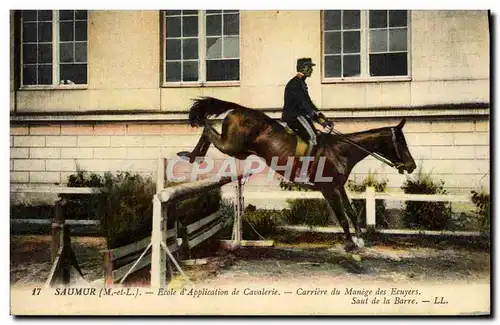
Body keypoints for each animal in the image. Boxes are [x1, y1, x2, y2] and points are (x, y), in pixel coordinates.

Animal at [178, 96, 416, 251]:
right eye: (401, 143)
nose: (411, 166)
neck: (340, 150)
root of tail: (239, 109)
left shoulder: (338, 187)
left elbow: (351, 211)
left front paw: (360, 240)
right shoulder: (328, 189)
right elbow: (341, 216)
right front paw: (350, 244)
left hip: (241, 152)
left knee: (209, 132)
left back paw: (193, 156)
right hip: (232, 146)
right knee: (207, 129)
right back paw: (191, 155)